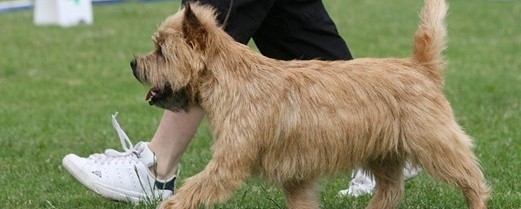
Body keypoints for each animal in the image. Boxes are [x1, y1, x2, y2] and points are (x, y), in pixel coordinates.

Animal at [129, 0, 488, 208]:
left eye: (161, 51)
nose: (133, 63)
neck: (233, 79)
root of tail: (420, 66)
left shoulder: (229, 163)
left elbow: (195, 189)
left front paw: (168, 205)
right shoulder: (295, 173)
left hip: (434, 143)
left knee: (471, 178)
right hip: (382, 152)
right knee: (390, 190)